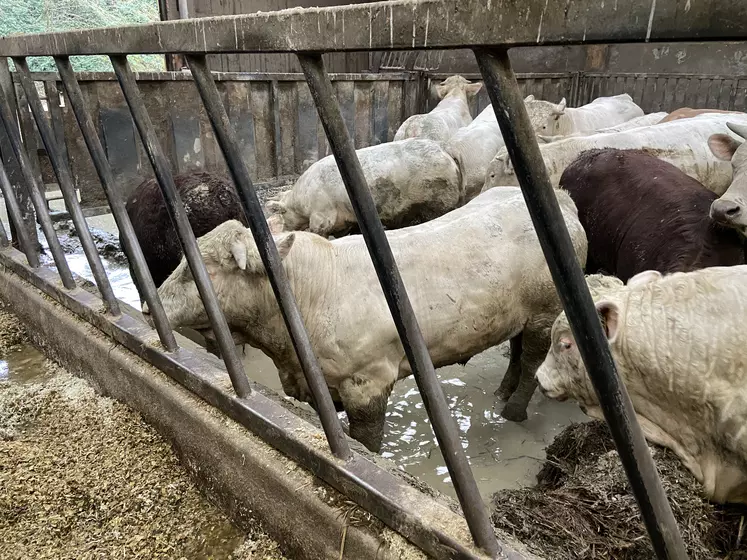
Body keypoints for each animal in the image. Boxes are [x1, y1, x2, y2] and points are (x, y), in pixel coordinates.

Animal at [148, 188, 592, 450]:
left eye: (197, 268)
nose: (152, 304)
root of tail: (564, 199)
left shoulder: (368, 382)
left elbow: (367, 442)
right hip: (518, 313)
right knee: (516, 350)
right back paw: (502, 391)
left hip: (546, 310)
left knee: (532, 359)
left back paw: (512, 409)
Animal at [262, 140, 462, 238]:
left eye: (283, 214)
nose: (282, 228)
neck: (301, 202)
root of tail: (445, 150)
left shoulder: (322, 214)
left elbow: (318, 230)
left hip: (441, 198)